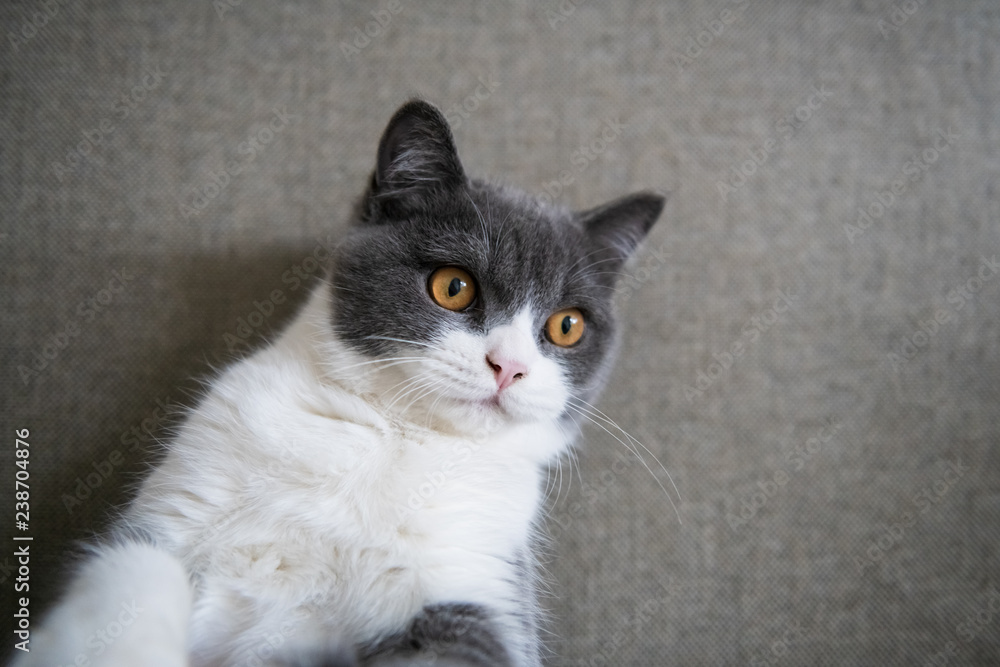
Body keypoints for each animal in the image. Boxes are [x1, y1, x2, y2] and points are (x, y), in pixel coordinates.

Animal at [17, 99, 664, 667]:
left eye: (566, 326)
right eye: (453, 286)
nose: (509, 366)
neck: (392, 436)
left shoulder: (477, 574)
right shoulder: (178, 507)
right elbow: (133, 575)